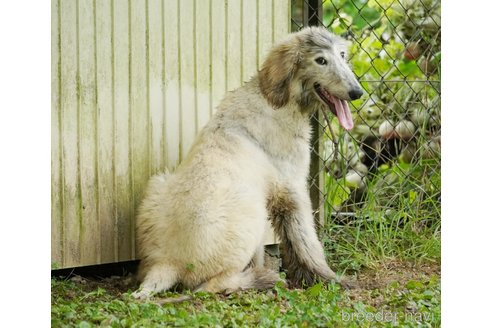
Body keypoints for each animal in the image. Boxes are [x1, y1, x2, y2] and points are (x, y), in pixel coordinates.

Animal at [133, 26, 364, 300]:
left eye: (342, 55)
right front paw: (328, 278)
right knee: (210, 286)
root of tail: (167, 264)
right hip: (250, 214)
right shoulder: (292, 188)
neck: (276, 100)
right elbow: (306, 241)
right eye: (320, 60)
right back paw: (260, 278)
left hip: (159, 184)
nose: (357, 93)